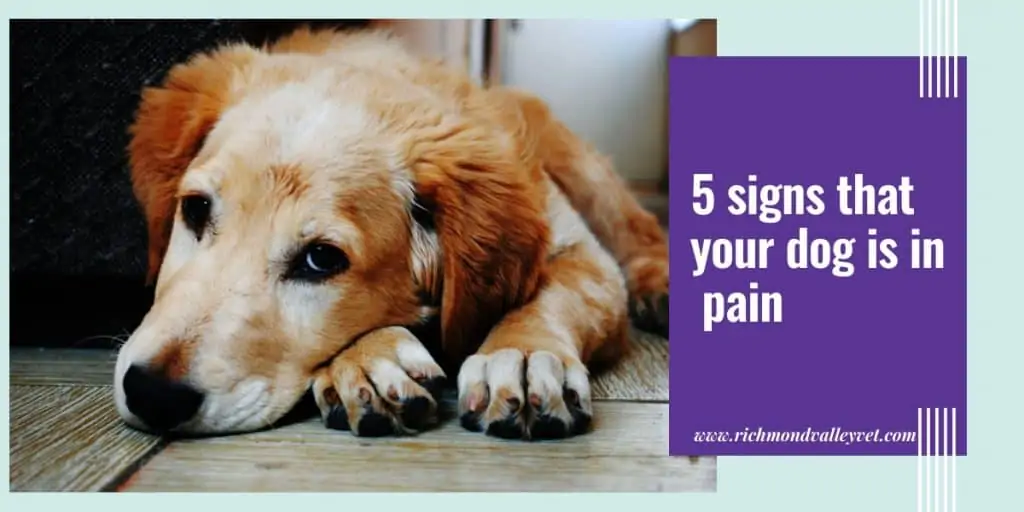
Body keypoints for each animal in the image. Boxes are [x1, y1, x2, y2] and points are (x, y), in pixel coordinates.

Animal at [114, 25, 671, 440]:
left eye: (322, 259)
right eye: (195, 209)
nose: (151, 393)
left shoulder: (584, 256)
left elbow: (552, 296)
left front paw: (524, 354)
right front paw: (370, 360)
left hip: (581, 168)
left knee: (640, 230)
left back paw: (660, 287)